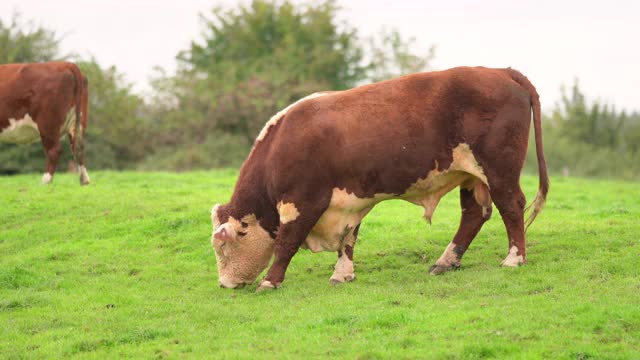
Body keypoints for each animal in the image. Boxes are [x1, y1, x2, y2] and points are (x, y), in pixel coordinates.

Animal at [211, 67, 552, 292]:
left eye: (223, 246)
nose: (225, 284)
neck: (282, 142)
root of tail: (500, 71)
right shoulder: (348, 202)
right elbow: (348, 240)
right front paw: (343, 274)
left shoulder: (302, 202)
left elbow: (286, 243)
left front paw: (270, 281)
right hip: (471, 175)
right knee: (474, 215)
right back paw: (446, 262)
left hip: (499, 169)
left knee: (511, 205)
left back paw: (514, 258)